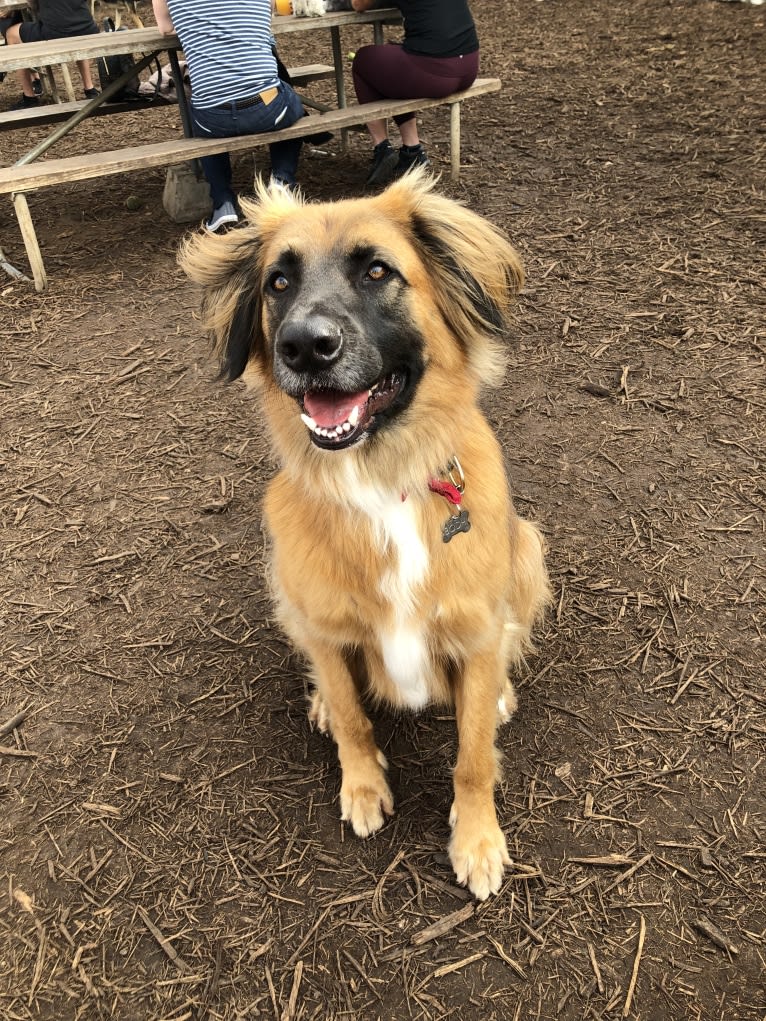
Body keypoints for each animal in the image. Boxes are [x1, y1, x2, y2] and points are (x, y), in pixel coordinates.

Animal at [179, 175, 551, 902]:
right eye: (279, 282)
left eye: (377, 271)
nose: (302, 346)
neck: (382, 484)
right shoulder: (324, 626)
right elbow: (354, 715)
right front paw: (362, 784)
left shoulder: (475, 627)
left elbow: (472, 755)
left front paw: (477, 838)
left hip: (528, 549)